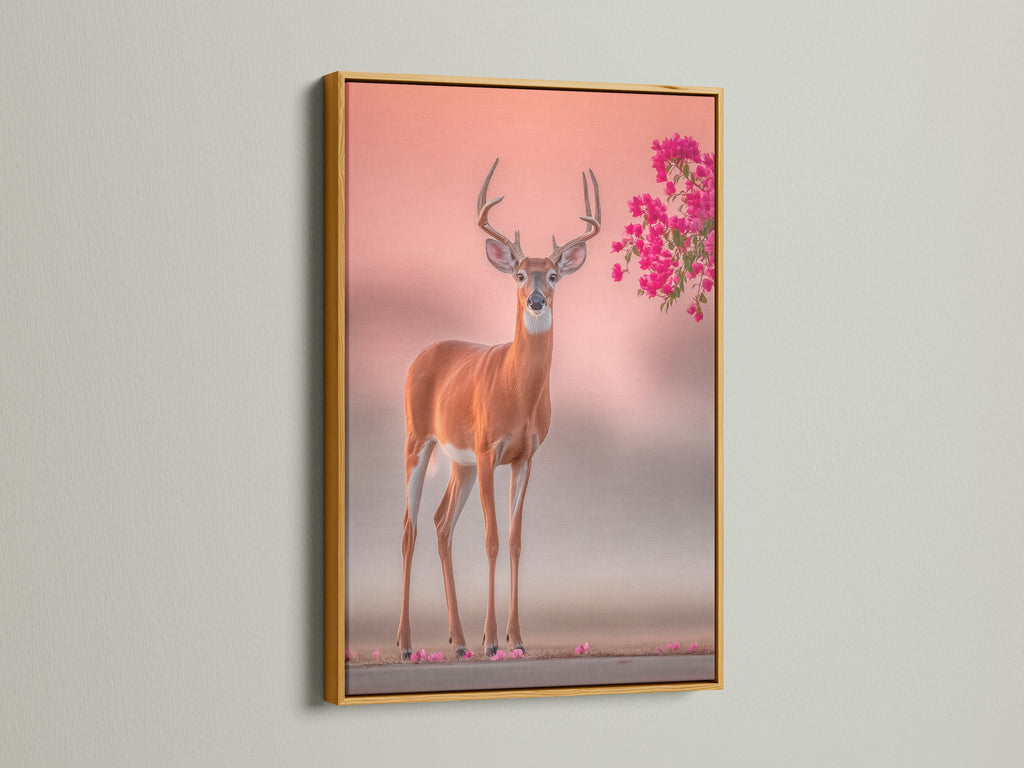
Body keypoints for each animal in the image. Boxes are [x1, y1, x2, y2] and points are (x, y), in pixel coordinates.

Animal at [397, 158, 600, 660]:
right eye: (519, 274)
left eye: (553, 274)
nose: (536, 300)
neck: (517, 392)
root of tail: (419, 355)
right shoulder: (490, 448)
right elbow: (489, 540)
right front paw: (493, 640)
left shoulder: (524, 456)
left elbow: (513, 541)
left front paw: (517, 639)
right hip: (418, 440)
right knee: (410, 529)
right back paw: (408, 645)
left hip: (460, 462)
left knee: (440, 524)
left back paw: (458, 641)